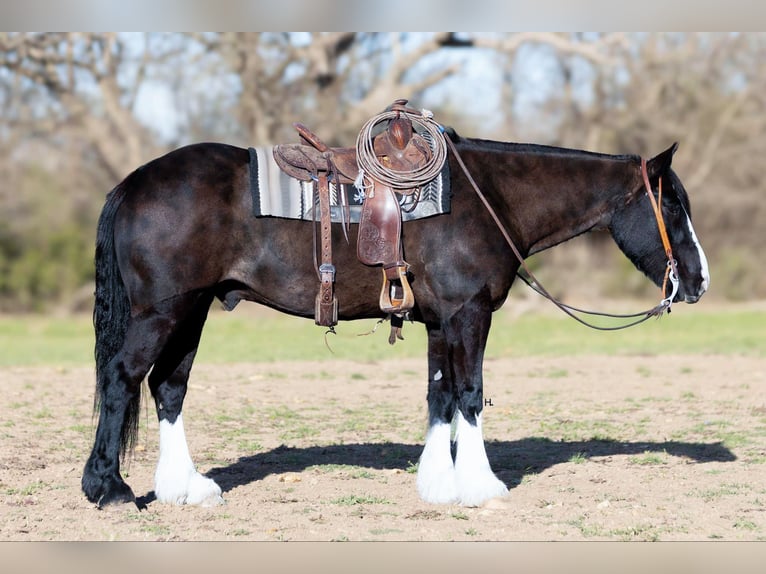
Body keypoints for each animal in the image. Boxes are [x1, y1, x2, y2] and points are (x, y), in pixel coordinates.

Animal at [82, 132, 710, 508]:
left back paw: (185, 488)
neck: (489, 198)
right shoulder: (468, 314)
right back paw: (109, 488)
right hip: (162, 313)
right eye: (672, 204)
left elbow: (440, 394)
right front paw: (481, 485)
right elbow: (470, 393)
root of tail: (131, 184)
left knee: (168, 387)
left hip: (191, 312)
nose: (698, 281)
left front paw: (437, 483)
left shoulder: (439, 320)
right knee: (122, 379)